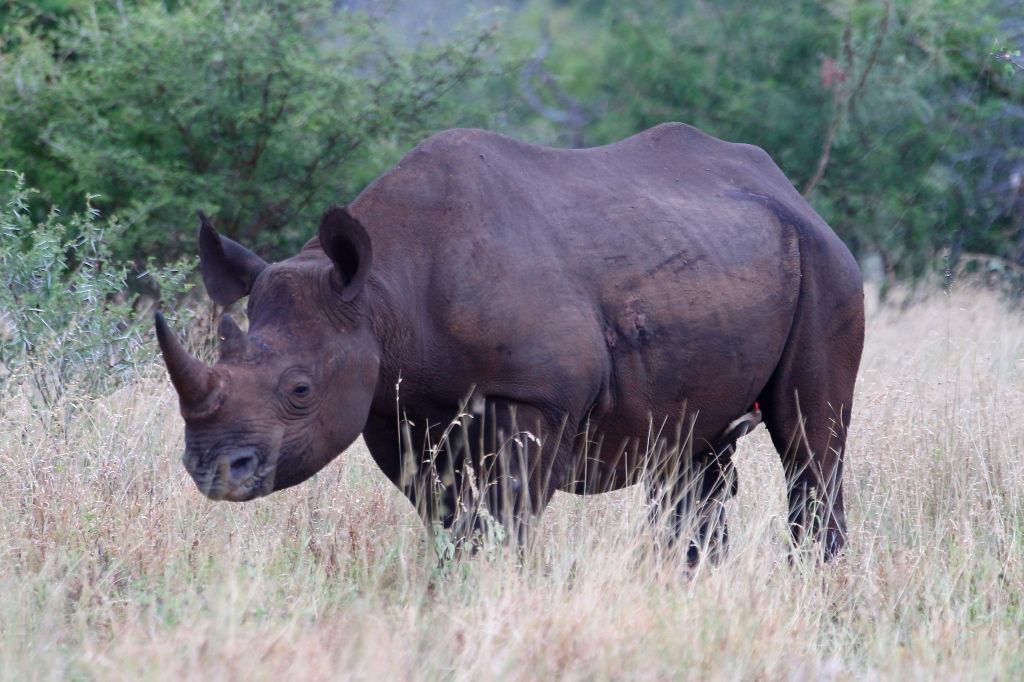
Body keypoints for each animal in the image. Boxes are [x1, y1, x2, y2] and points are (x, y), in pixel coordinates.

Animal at [156, 123, 864, 563]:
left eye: (301, 389)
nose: (212, 470)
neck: (382, 295)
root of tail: (792, 192)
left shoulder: (536, 400)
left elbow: (504, 521)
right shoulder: (394, 407)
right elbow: (446, 520)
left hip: (828, 266)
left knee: (809, 441)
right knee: (693, 458)